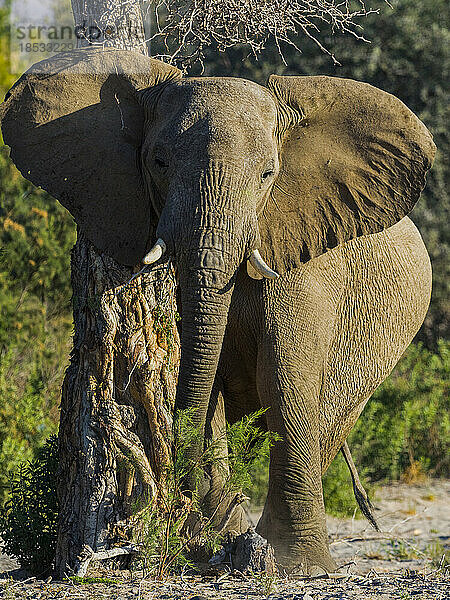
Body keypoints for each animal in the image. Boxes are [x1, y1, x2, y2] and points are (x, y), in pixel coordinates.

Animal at [0, 47, 436, 572]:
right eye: (159, 162)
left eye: (268, 175)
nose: (185, 492)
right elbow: (206, 379)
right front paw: (213, 536)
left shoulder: (299, 263)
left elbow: (283, 381)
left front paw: (297, 566)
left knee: (329, 418)